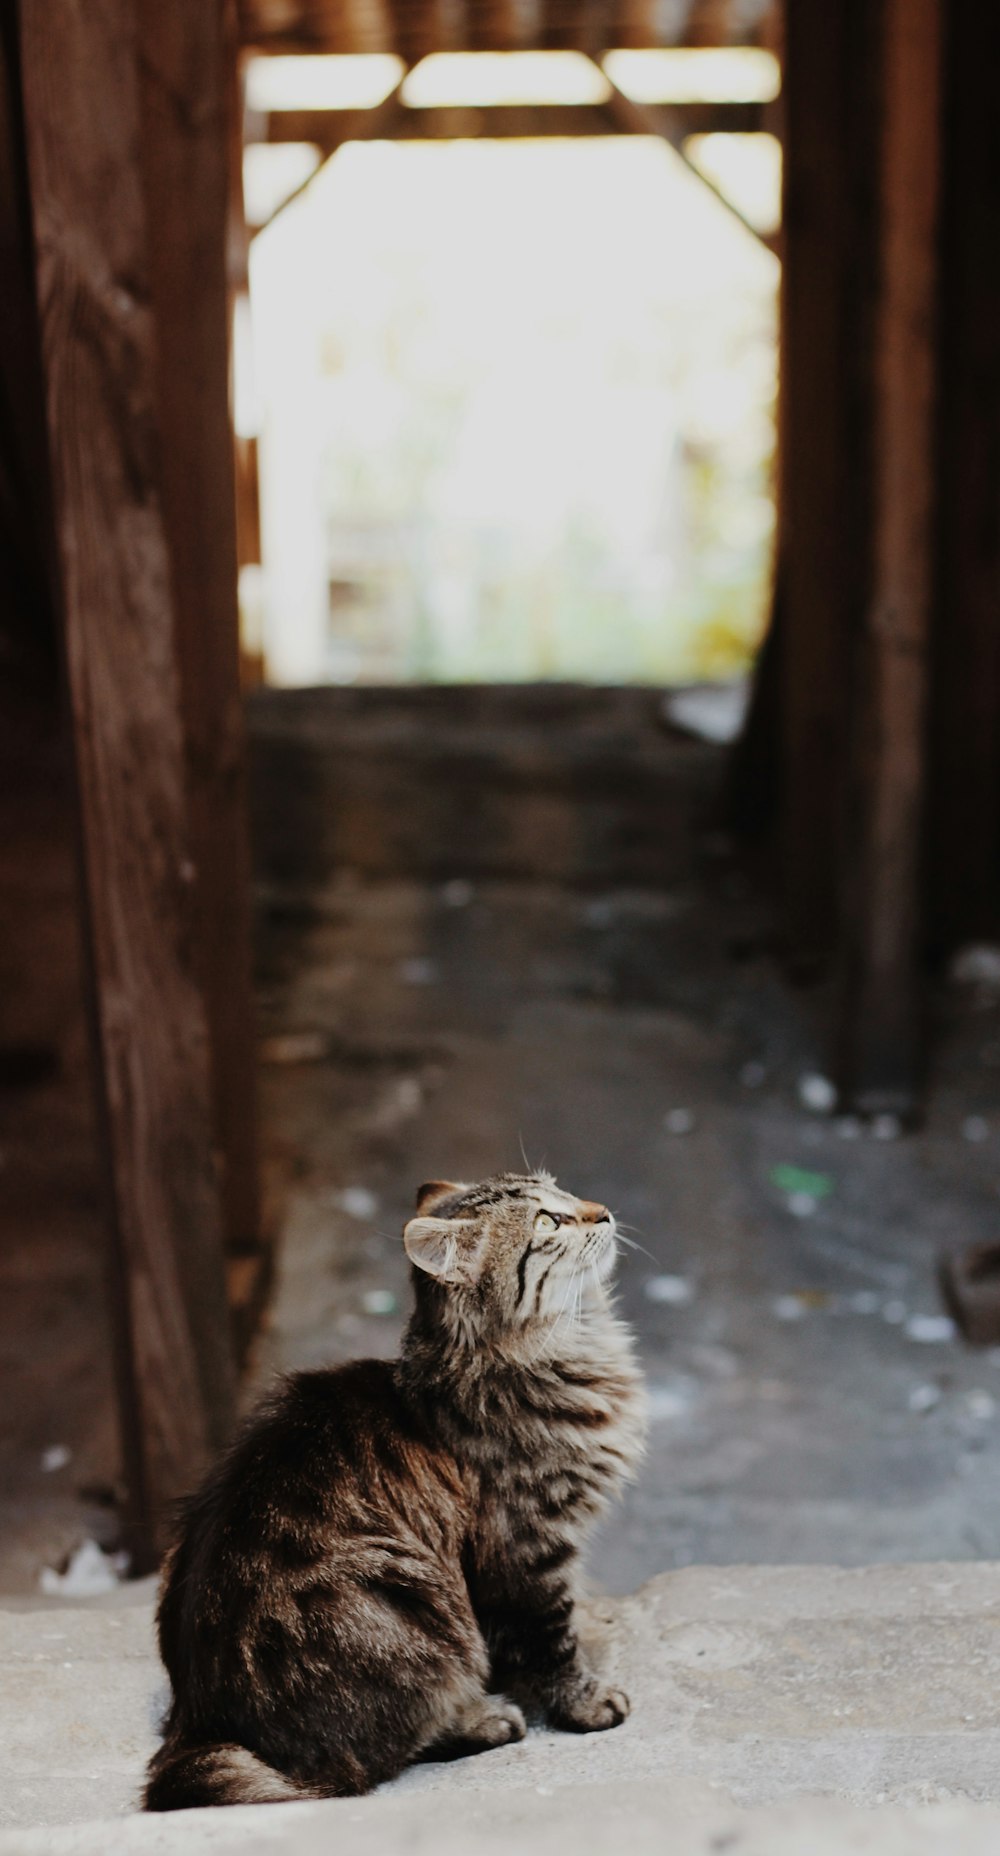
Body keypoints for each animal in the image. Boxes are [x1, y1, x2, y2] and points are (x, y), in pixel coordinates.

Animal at [146, 1172, 649, 1811]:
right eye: (547, 1222)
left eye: (563, 1191)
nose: (602, 1212)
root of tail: (198, 1722)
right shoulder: (526, 1552)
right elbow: (552, 1644)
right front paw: (586, 1703)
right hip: (417, 1613)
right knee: (370, 1762)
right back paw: (485, 1718)